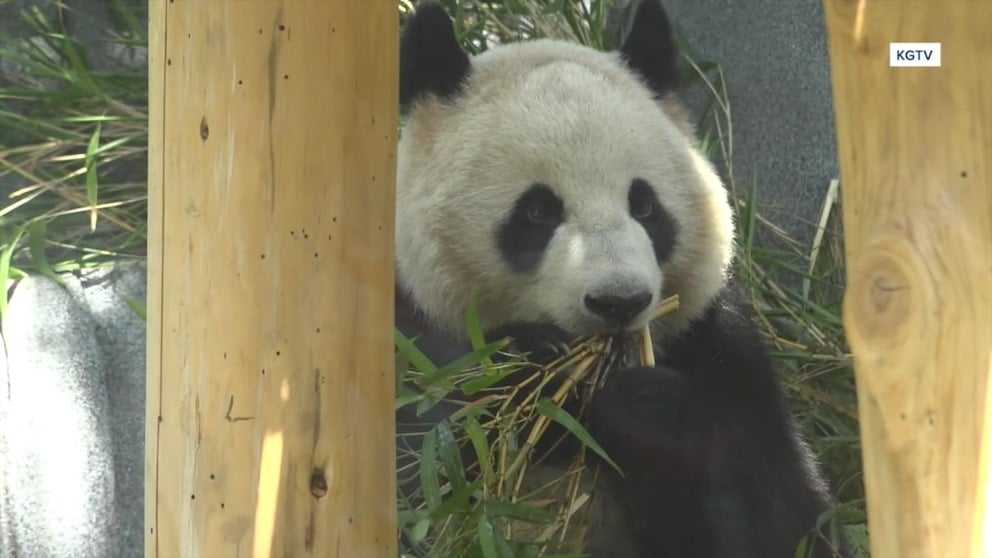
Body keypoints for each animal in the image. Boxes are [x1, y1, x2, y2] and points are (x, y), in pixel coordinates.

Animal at [392, 1, 848, 558]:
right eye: (537, 211)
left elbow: (785, 514)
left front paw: (647, 408)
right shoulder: (406, 334)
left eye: (645, 206)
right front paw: (533, 360)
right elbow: (427, 456)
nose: (619, 302)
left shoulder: (720, 346)